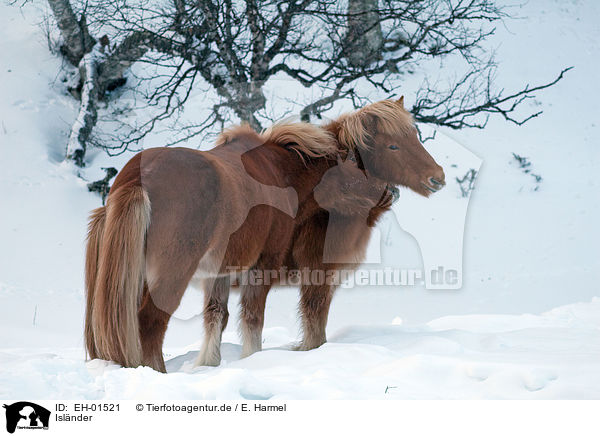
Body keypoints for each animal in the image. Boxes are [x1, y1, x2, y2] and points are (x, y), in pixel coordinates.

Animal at [84, 98, 442, 372]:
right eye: (393, 145)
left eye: (416, 137)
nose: (437, 177)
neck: (292, 178)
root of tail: (137, 179)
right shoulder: (282, 271)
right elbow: (274, 321)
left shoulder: (221, 274)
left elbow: (217, 318)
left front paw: (208, 364)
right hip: (171, 274)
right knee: (150, 323)